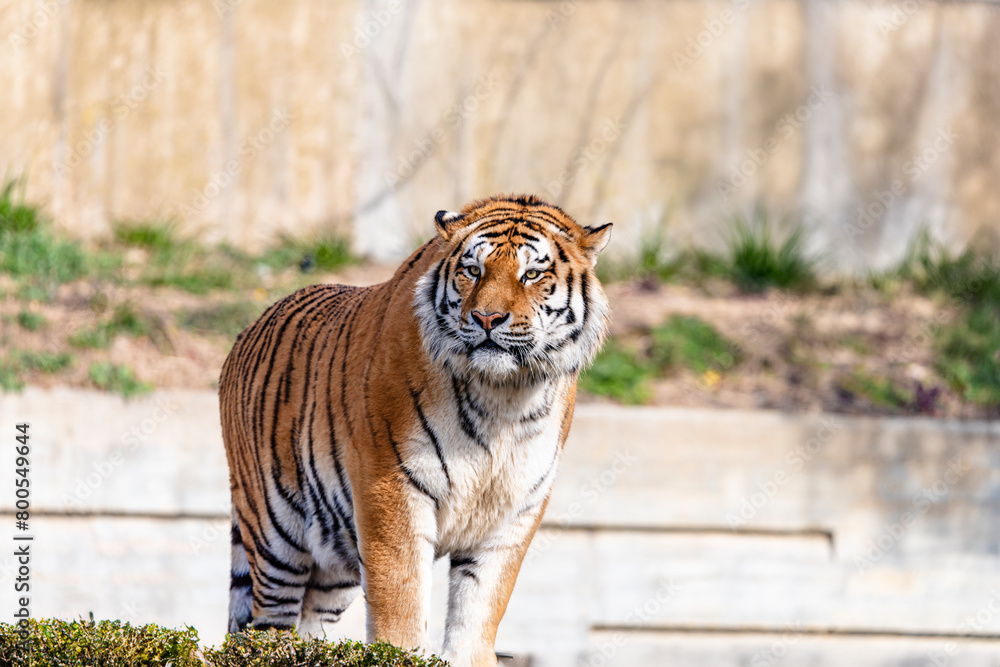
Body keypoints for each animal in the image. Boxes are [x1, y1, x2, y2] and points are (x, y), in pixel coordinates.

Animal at [219, 193, 612, 667]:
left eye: (532, 274)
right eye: (473, 270)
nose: (487, 318)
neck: (503, 397)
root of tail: (245, 331)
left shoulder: (513, 510)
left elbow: (481, 608)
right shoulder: (392, 488)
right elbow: (400, 602)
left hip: (332, 566)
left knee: (310, 626)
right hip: (276, 535)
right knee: (268, 627)